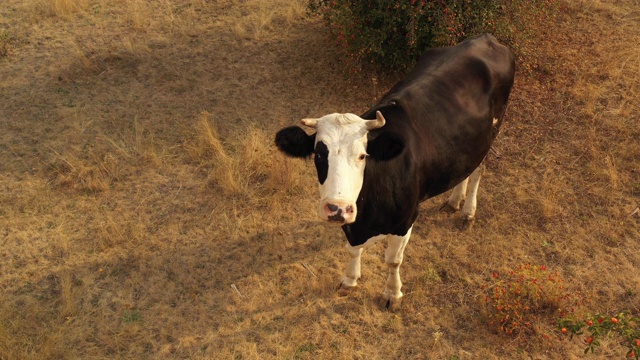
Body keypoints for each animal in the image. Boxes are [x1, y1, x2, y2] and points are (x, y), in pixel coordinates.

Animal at [274, 33, 516, 310]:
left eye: (362, 155)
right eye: (318, 154)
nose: (337, 208)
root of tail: (485, 38)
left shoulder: (405, 219)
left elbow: (392, 260)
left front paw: (392, 293)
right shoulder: (353, 226)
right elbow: (352, 249)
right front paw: (349, 280)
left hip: (491, 134)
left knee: (478, 171)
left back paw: (467, 212)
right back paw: (454, 200)